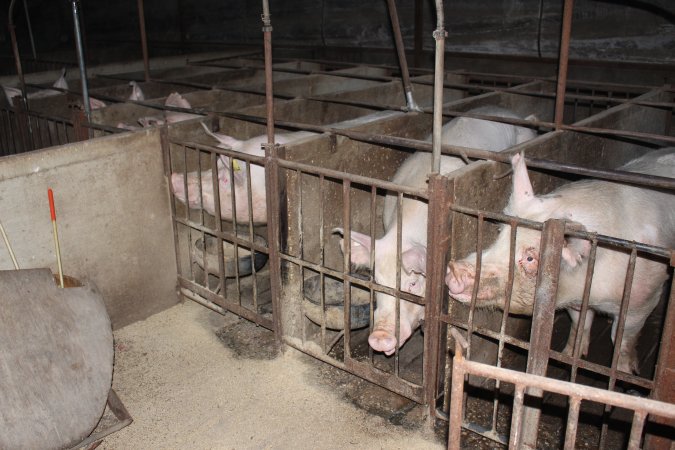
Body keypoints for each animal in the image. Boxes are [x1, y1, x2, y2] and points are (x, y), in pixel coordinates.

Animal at [444, 149, 675, 372]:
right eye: (502, 233)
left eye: (530, 258)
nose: (455, 268)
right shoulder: (575, 301)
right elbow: (580, 323)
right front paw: (568, 355)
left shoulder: (644, 299)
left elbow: (623, 338)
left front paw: (625, 372)